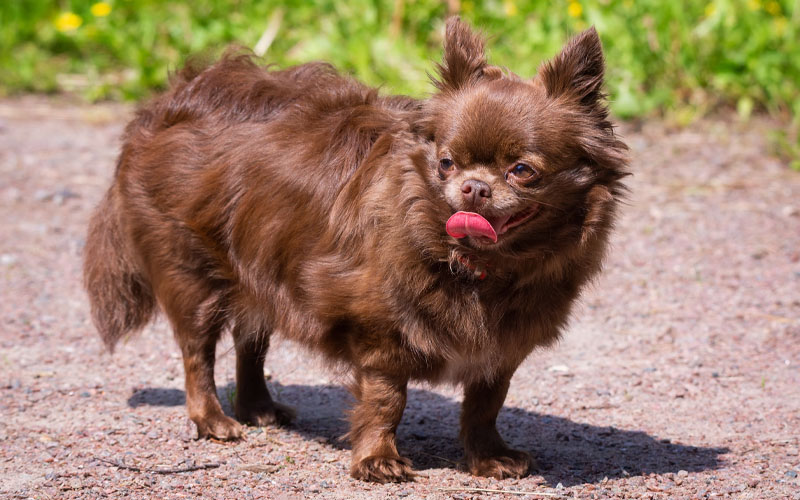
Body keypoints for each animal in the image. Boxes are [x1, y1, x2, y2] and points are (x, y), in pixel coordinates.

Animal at [84, 19, 628, 484]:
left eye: (522, 171)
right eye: (447, 163)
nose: (474, 188)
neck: (476, 266)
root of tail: (171, 100)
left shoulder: (500, 348)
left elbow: (485, 403)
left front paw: (488, 456)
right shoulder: (381, 336)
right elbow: (386, 401)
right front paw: (377, 460)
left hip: (262, 266)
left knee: (250, 341)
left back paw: (258, 407)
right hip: (192, 273)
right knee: (198, 353)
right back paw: (213, 420)